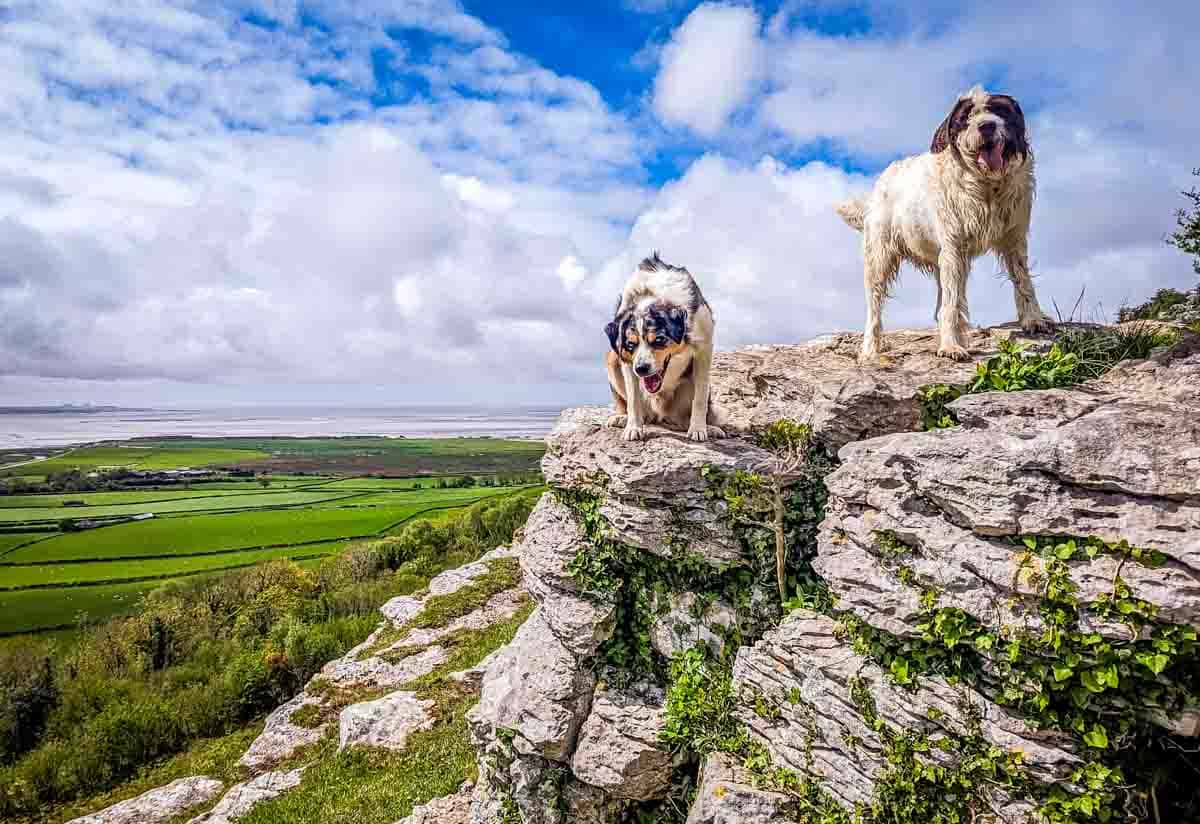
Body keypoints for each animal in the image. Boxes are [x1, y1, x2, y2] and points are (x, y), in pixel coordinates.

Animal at [835, 85, 1051, 362]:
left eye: (999, 110)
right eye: (966, 117)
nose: (987, 126)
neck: (986, 186)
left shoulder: (1013, 238)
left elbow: (1022, 280)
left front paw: (1033, 318)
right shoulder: (954, 248)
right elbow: (952, 303)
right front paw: (950, 346)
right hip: (879, 257)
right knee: (874, 307)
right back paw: (871, 350)